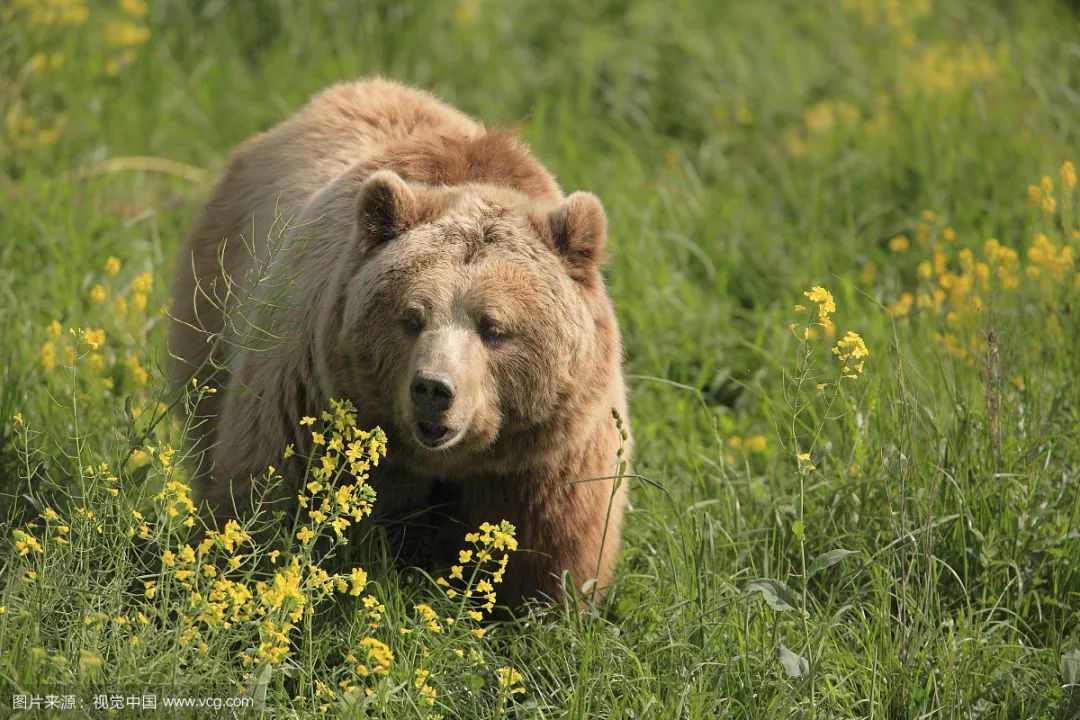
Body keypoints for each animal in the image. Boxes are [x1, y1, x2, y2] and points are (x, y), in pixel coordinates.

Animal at [168, 78, 630, 608]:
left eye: (493, 327)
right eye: (411, 318)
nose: (433, 389)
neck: (446, 460)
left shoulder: (545, 461)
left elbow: (545, 556)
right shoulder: (308, 399)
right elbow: (271, 495)